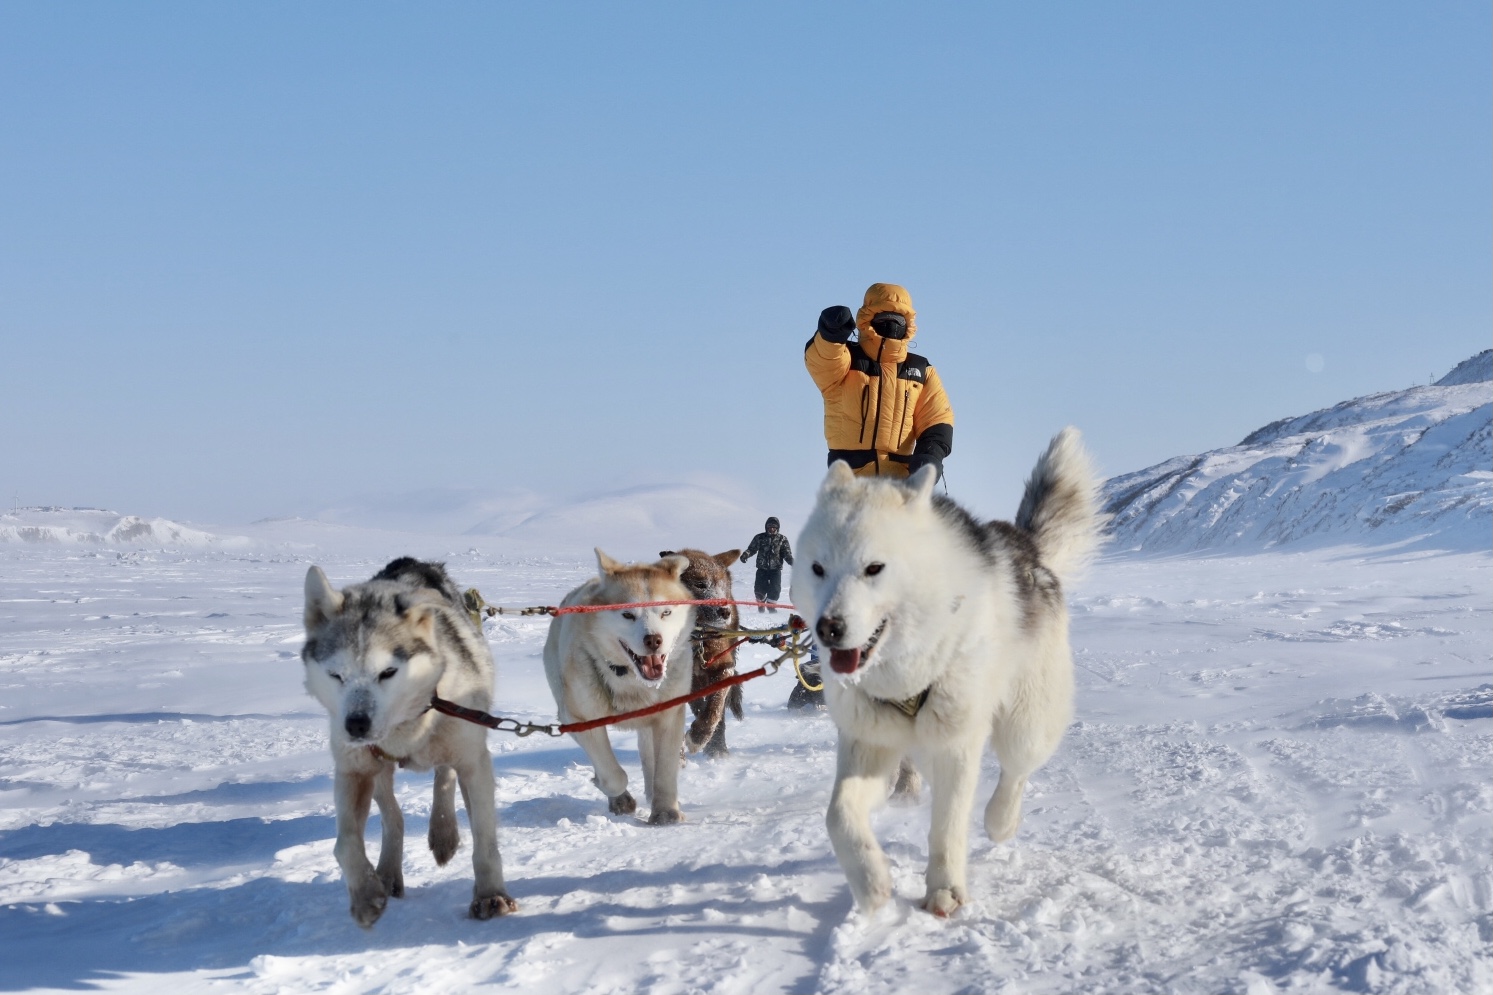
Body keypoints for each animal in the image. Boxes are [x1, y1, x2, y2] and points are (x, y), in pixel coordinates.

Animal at [659, 546, 740, 755]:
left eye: (723, 586)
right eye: (700, 584)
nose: (725, 611)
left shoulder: (723, 667)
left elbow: (715, 707)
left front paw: (700, 736)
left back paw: (717, 747)